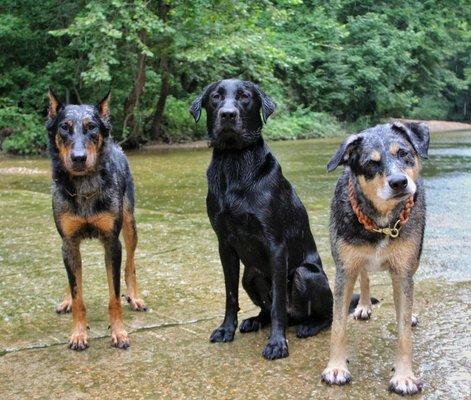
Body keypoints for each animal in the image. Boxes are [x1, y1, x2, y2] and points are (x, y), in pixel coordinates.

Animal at [46, 90, 147, 350]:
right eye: (64, 127)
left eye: (91, 127)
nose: (79, 158)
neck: (84, 188)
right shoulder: (69, 241)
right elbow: (77, 293)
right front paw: (78, 333)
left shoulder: (112, 242)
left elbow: (114, 296)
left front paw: (119, 332)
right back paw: (66, 300)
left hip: (130, 225)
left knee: (131, 264)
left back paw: (135, 297)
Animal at [190, 79, 334, 360]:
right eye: (215, 97)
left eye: (244, 96)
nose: (228, 115)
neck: (234, 161)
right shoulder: (225, 244)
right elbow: (230, 295)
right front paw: (227, 329)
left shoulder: (276, 245)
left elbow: (277, 301)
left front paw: (277, 343)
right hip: (250, 274)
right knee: (267, 308)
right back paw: (255, 320)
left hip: (305, 274)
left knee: (324, 315)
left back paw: (309, 326)